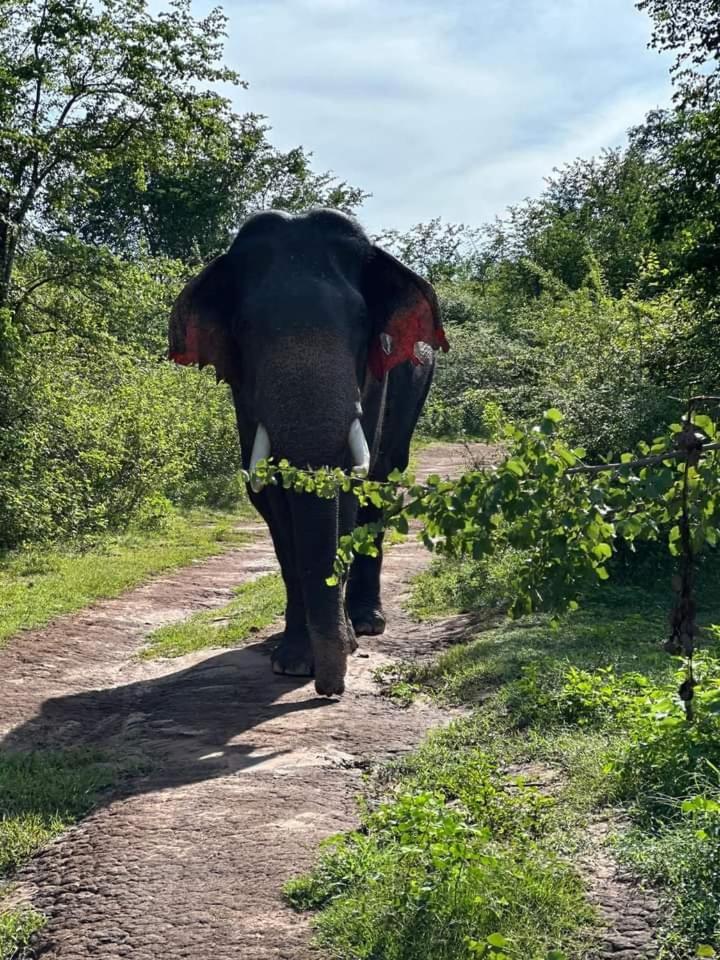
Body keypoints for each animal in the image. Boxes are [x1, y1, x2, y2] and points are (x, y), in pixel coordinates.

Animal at [171, 206, 448, 696]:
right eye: (244, 328)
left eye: (362, 323)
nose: (329, 690)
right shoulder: (243, 393)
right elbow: (271, 498)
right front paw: (294, 664)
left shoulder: (374, 378)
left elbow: (352, 487)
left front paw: (346, 645)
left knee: (383, 478)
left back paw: (368, 623)